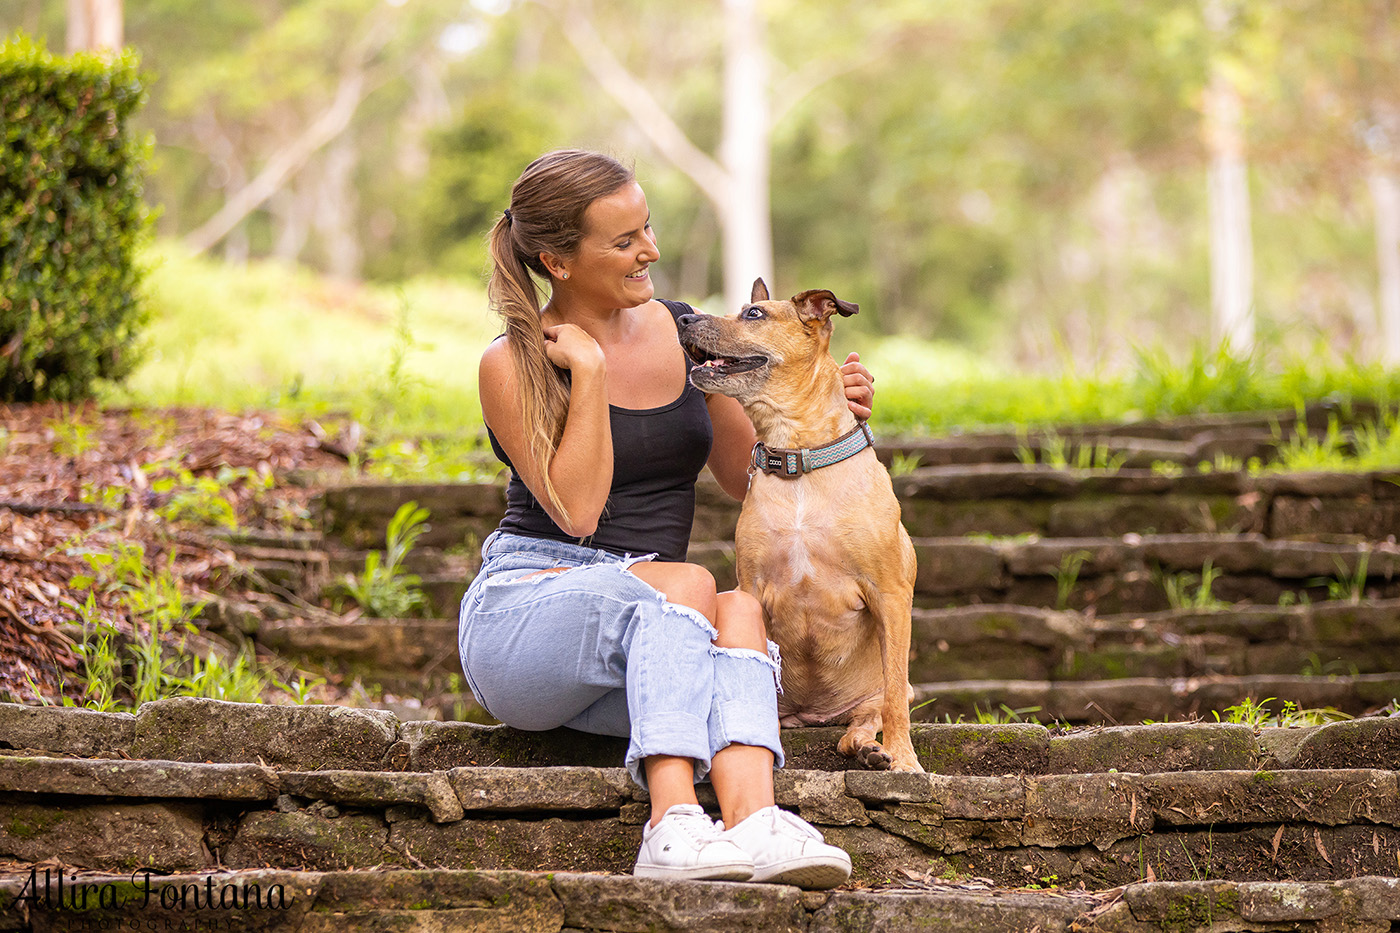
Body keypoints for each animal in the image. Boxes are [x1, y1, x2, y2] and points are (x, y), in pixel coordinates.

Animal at [674, 275, 918, 767]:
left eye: (754, 314)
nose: (684, 318)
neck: (796, 456)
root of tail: (813, 716)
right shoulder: (750, 590)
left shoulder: (890, 593)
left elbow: (894, 703)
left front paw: (905, 760)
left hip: (883, 691)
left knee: (866, 719)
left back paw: (870, 749)